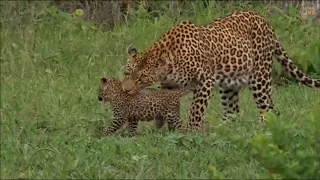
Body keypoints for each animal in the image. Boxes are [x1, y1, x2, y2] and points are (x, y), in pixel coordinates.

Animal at [121, 10, 318, 131]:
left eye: (141, 78)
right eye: (126, 73)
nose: (125, 90)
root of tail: (263, 19)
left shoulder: (205, 81)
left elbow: (196, 111)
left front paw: (191, 131)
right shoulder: (168, 86)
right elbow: (165, 104)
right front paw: (164, 128)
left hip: (259, 77)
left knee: (267, 106)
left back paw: (260, 126)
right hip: (229, 85)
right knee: (233, 112)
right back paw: (221, 129)